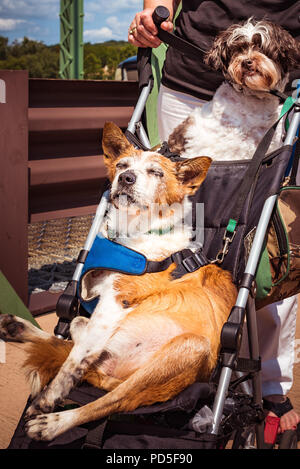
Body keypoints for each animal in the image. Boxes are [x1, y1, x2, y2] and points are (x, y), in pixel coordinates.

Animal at [0, 122, 237, 440]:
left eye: (156, 172)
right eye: (122, 165)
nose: (125, 178)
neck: (132, 234)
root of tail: (115, 375)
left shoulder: (114, 302)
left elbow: (72, 364)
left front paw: (49, 399)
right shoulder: (93, 293)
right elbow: (75, 347)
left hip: (185, 350)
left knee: (111, 400)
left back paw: (55, 423)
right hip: (89, 328)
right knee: (73, 345)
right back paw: (18, 328)